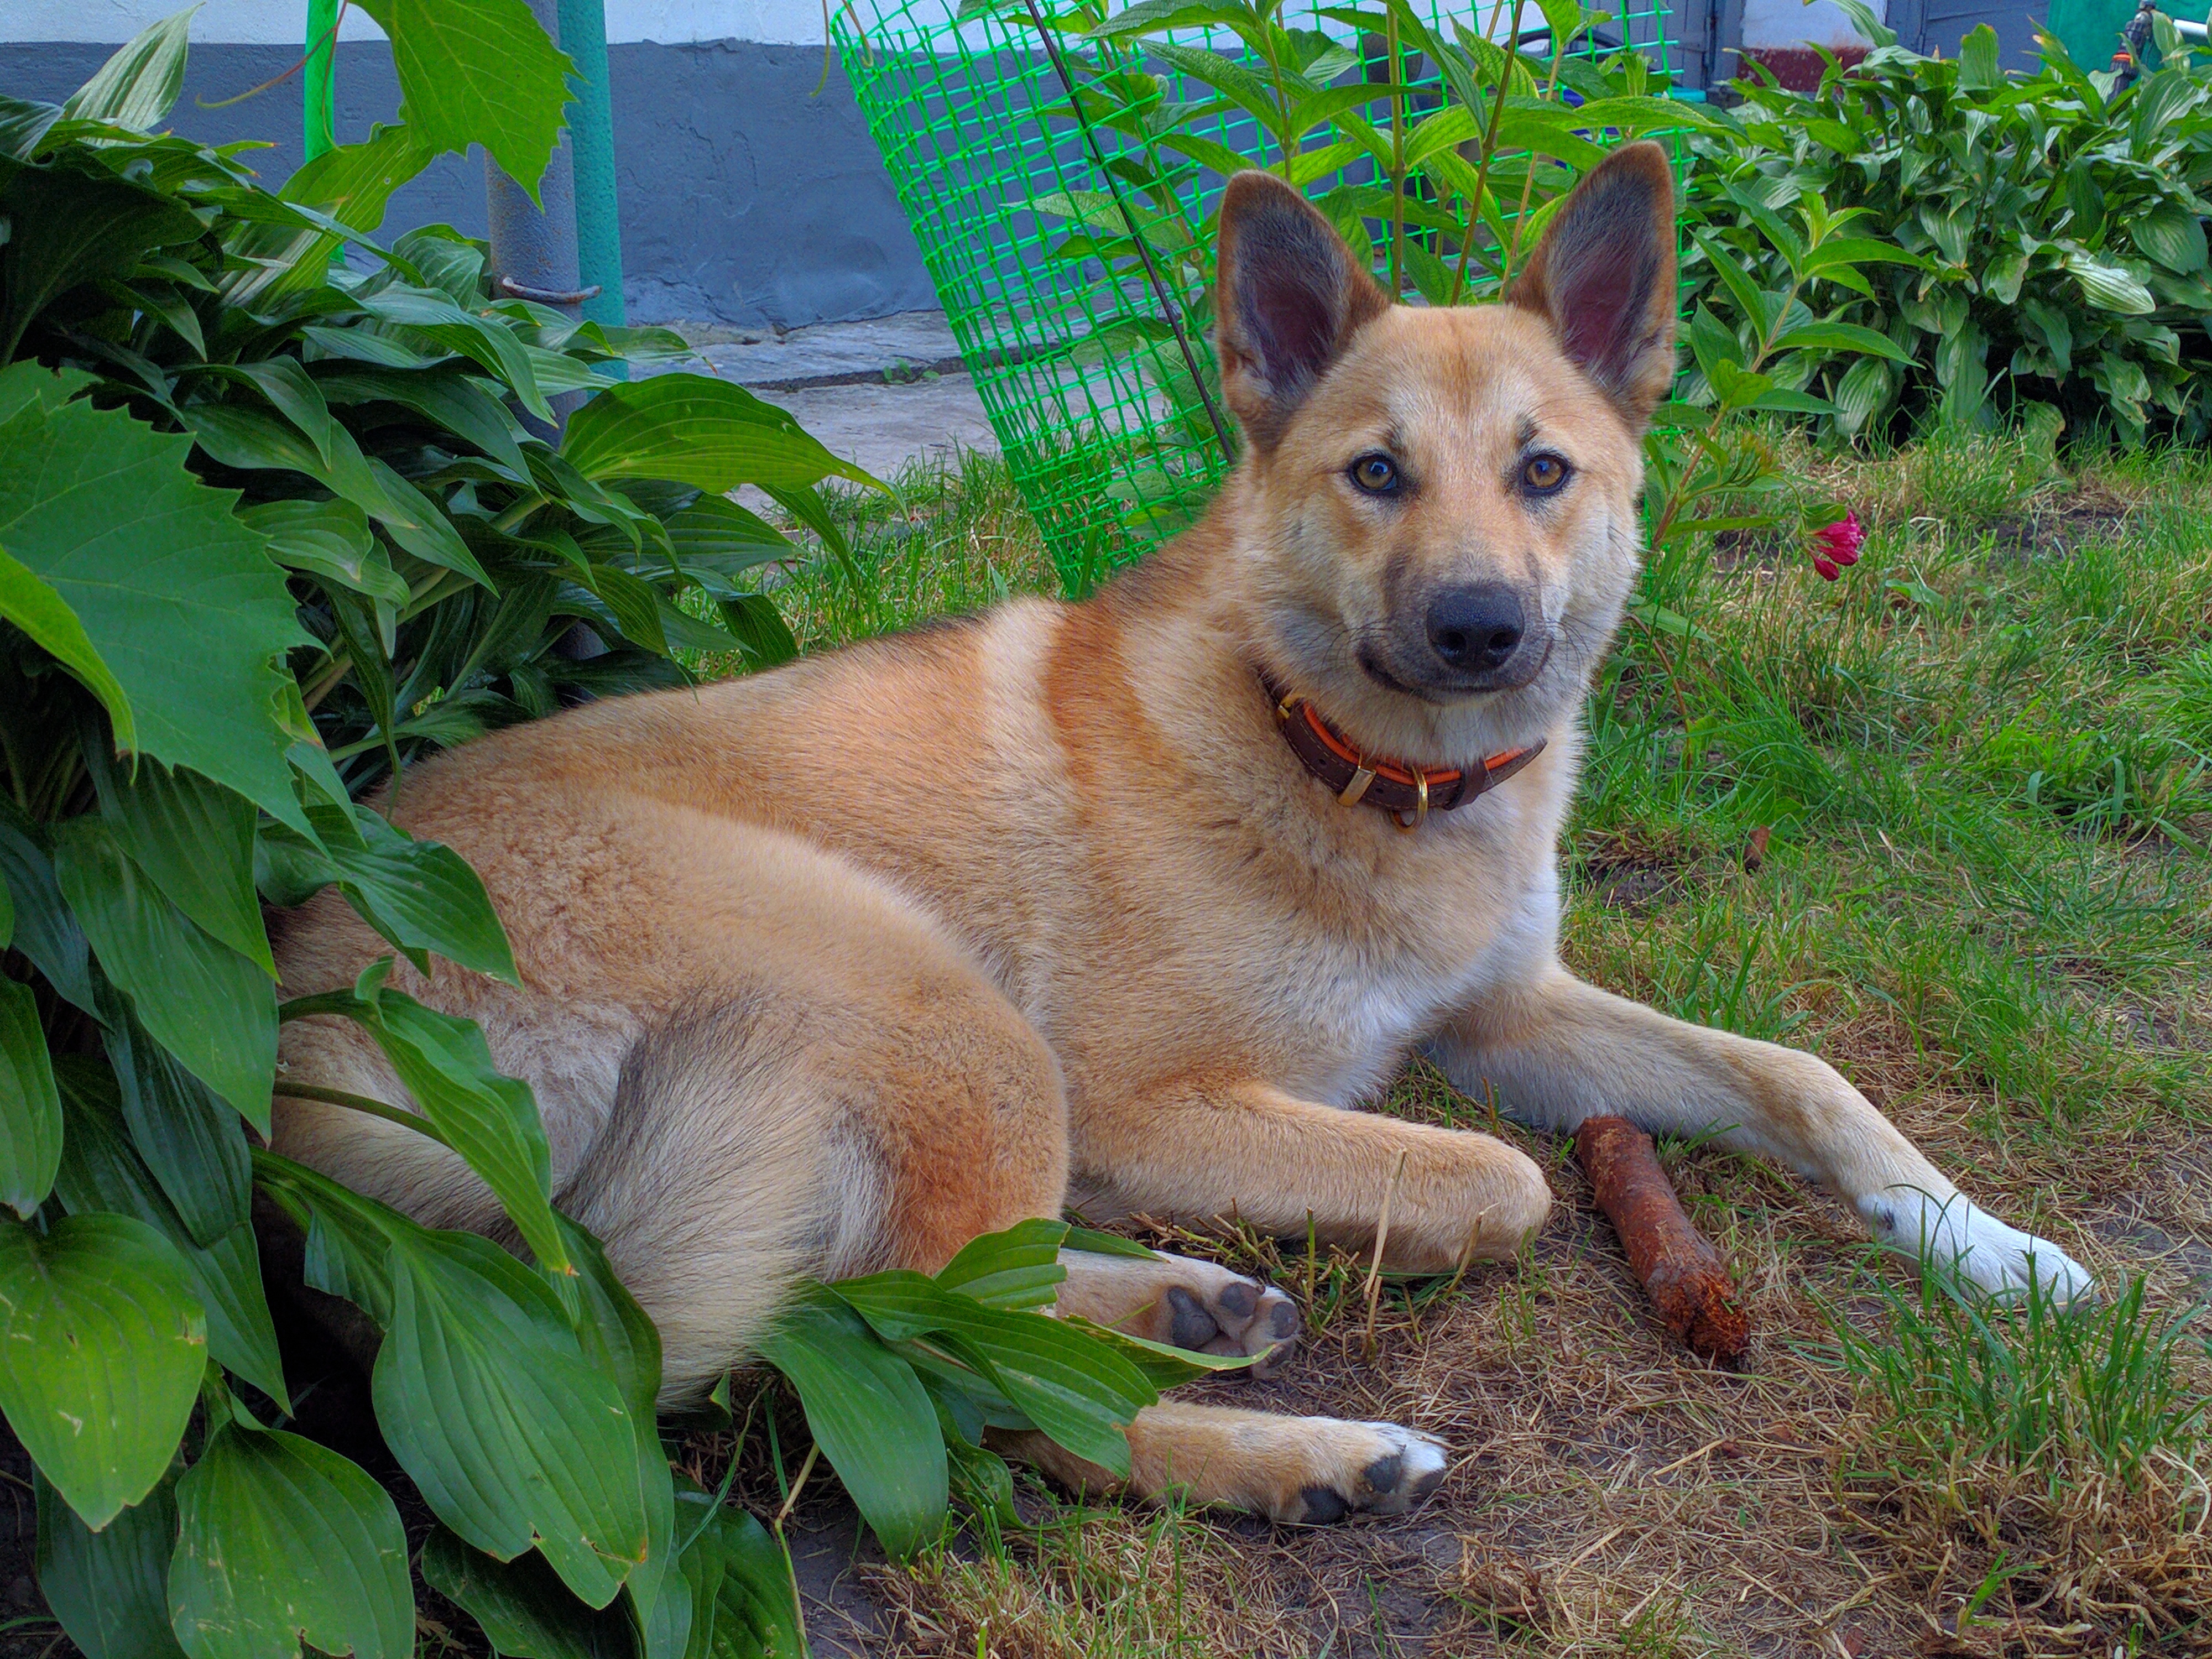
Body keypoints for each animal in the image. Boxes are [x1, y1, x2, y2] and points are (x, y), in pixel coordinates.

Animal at [272, 149, 2088, 1531]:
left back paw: (1186, 1304)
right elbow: (1499, 1181)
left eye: (1542, 471)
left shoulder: (1510, 1015)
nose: (1482, 629)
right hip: (959, 1023)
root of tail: (309, 1024)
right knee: (957, 1375)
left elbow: (1798, 1073)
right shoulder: (1149, 1099)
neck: (1352, 771)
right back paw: (1308, 1454)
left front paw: (1987, 1243)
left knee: (893, 1298)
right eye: (1375, 474)